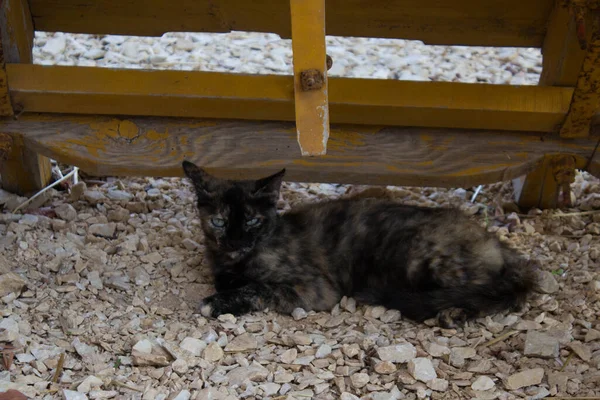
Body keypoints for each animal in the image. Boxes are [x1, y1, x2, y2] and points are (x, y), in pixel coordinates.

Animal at [183, 161, 540, 326]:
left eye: (252, 222)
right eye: (219, 222)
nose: (235, 242)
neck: (235, 261)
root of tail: (499, 244)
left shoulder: (315, 289)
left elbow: (257, 288)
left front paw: (217, 303)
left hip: (422, 259)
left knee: (486, 292)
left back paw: (454, 312)